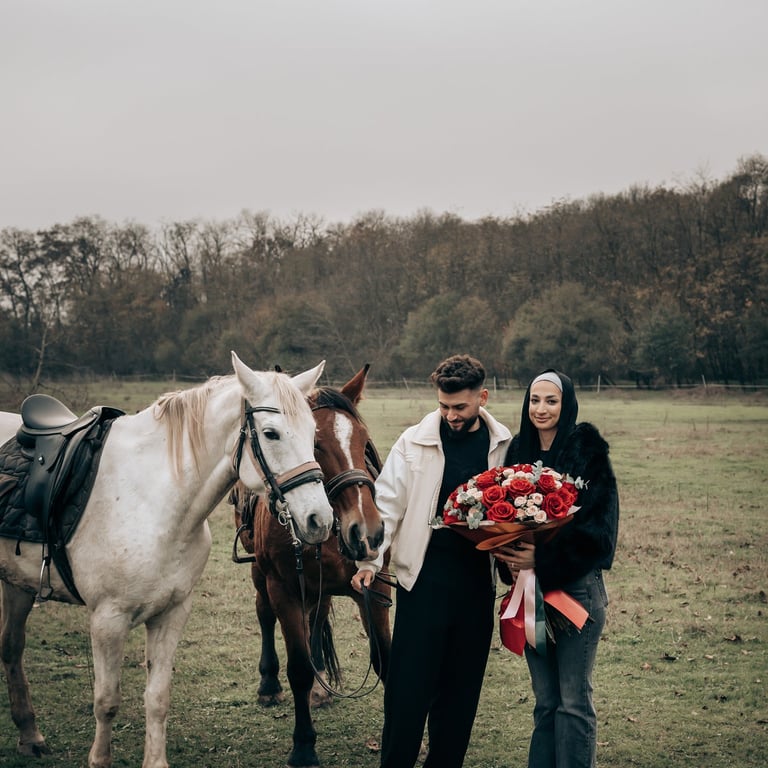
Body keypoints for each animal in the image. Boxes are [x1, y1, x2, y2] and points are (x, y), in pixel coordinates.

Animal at [0, 352, 334, 768]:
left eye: (313, 433)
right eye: (271, 434)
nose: (320, 520)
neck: (154, 498)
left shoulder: (171, 613)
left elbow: (157, 698)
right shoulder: (108, 620)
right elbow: (106, 701)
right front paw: (100, 759)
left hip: (18, 584)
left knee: (11, 647)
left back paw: (29, 735)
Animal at [230, 363, 392, 768]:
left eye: (363, 442)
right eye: (315, 444)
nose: (368, 531)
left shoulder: (375, 588)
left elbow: (385, 660)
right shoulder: (283, 589)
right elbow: (298, 669)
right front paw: (303, 746)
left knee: (317, 616)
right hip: (260, 575)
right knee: (264, 614)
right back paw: (269, 683)